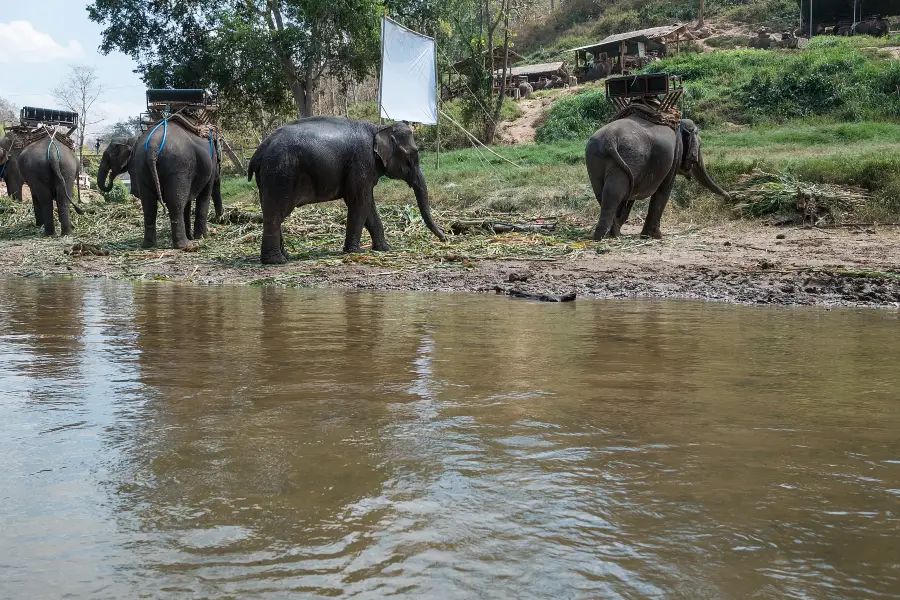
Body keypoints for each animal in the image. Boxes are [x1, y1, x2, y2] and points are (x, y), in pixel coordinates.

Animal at [131, 117, 224, 248]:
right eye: (220, 161)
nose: (220, 219)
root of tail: (153, 146)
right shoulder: (210, 165)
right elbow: (205, 193)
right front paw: (202, 237)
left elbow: (188, 201)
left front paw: (192, 236)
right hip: (178, 168)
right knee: (176, 203)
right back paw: (184, 244)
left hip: (141, 168)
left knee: (149, 204)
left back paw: (149, 245)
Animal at [248, 118, 444, 264]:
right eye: (412, 157)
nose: (444, 238)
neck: (378, 128)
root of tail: (259, 152)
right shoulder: (362, 162)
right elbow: (360, 202)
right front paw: (355, 252)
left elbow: (368, 205)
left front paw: (386, 249)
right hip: (281, 175)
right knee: (275, 214)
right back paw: (276, 261)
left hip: (269, 178)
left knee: (272, 212)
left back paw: (285, 256)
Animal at [584, 116, 732, 240]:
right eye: (700, 145)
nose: (729, 197)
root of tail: (610, 138)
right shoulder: (674, 157)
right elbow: (664, 189)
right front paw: (656, 236)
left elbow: (631, 197)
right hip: (631, 157)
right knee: (616, 192)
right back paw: (604, 235)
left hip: (598, 158)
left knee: (605, 193)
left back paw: (608, 234)